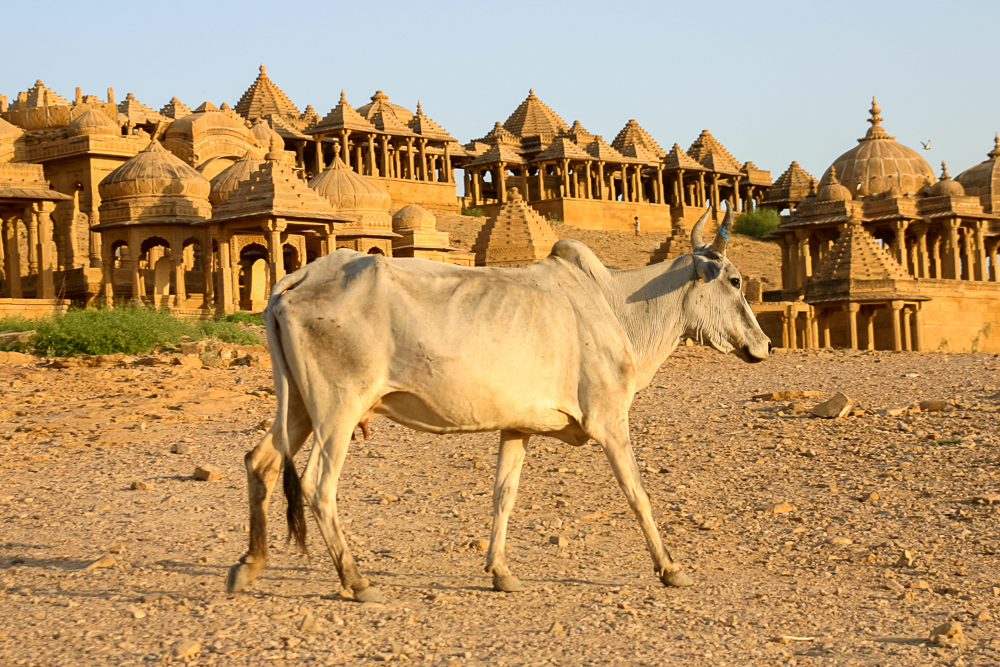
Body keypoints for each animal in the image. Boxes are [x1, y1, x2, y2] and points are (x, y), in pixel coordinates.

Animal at [229, 202, 772, 600]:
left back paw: (248, 566)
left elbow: (503, 495)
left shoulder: (518, 427)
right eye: (735, 281)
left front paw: (500, 572)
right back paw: (356, 581)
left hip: (300, 407)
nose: (764, 345)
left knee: (260, 462)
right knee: (319, 485)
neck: (618, 306)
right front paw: (670, 568)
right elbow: (638, 494)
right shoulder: (609, 420)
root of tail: (294, 278)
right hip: (338, 408)